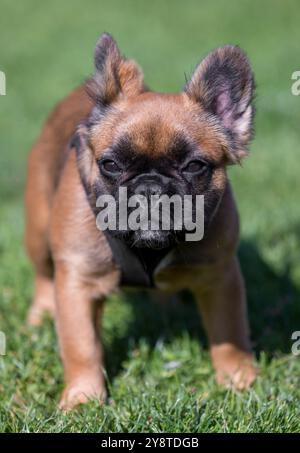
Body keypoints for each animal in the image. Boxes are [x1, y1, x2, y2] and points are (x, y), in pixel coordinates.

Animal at [24, 32, 256, 410]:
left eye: (195, 166)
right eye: (110, 165)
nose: (149, 187)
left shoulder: (219, 274)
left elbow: (229, 330)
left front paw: (237, 379)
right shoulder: (77, 280)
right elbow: (81, 347)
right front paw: (83, 399)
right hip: (38, 231)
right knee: (44, 275)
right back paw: (39, 318)